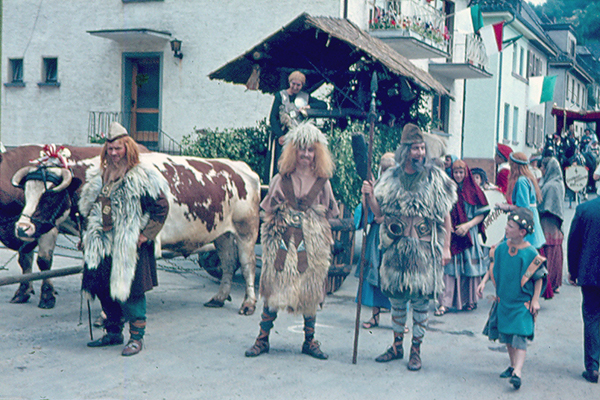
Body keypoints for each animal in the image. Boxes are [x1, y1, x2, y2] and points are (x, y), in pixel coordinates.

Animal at [2, 145, 260, 314]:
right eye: (26, 193)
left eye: (49, 196)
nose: (22, 228)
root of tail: (239, 166)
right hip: (222, 233)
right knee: (228, 262)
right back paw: (219, 297)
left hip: (246, 230)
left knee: (247, 265)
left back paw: (249, 303)